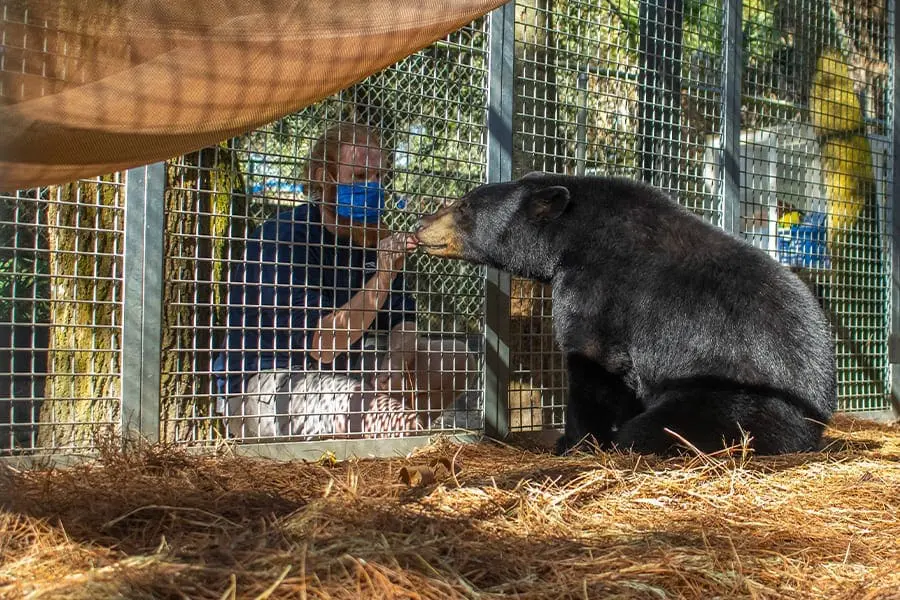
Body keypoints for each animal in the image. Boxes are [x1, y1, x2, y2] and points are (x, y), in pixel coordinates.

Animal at [414, 173, 836, 454]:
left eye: (464, 206)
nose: (420, 223)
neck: (569, 237)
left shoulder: (599, 287)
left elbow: (592, 362)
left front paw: (575, 441)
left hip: (740, 399)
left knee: (664, 426)